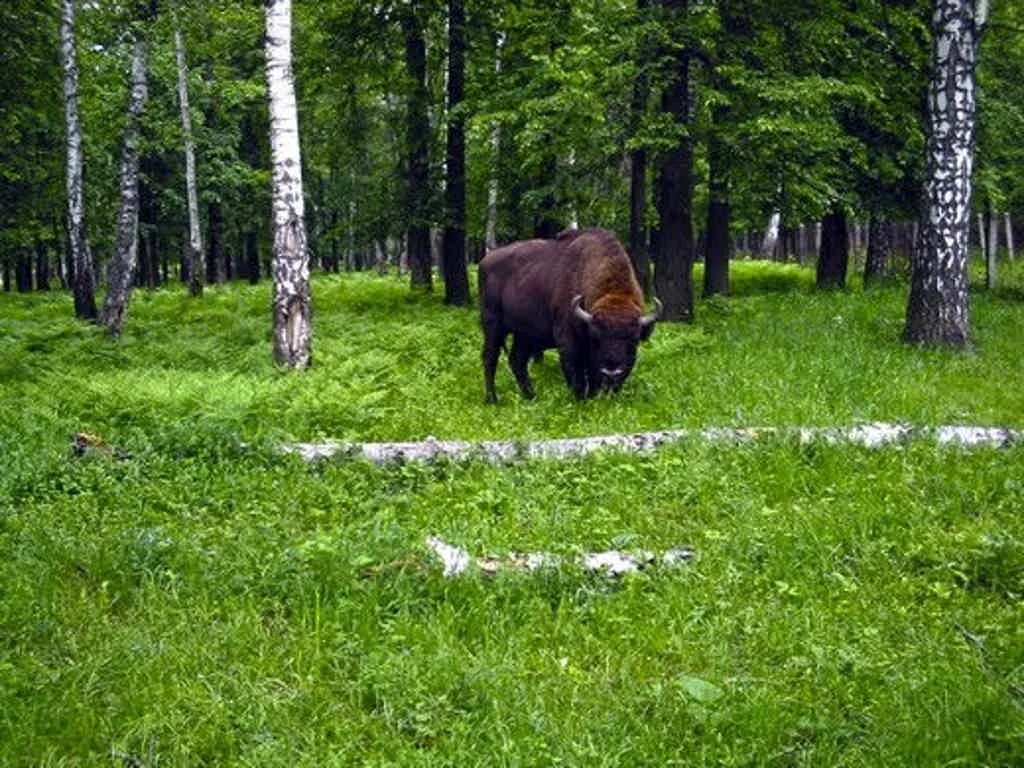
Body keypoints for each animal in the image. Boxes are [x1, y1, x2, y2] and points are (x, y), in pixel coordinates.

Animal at [475, 227, 659, 403]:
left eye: (633, 340)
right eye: (596, 339)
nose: (611, 372)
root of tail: (485, 261)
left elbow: (591, 377)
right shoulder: (568, 340)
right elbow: (576, 374)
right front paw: (579, 400)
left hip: (524, 335)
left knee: (517, 360)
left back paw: (531, 396)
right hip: (493, 325)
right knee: (490, 358)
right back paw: (492, 399)